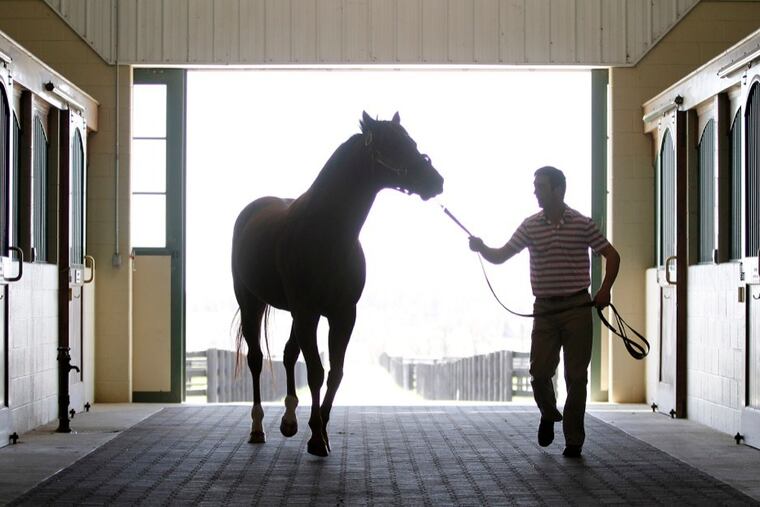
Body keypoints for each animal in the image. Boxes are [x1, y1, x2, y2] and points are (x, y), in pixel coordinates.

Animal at [231, 111, 444, 457]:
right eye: (392, 144)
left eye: (410, 141)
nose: (436, 180)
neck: (327, 233)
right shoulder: (308, 312)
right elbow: (316, 372)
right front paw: (317, 438)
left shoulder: (342, 314)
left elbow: (336, 372)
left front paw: (321, 431)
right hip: (252, 303)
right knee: (256, 359)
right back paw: (257, 427)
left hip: (298, 314)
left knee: (288, 354)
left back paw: (289, 421)